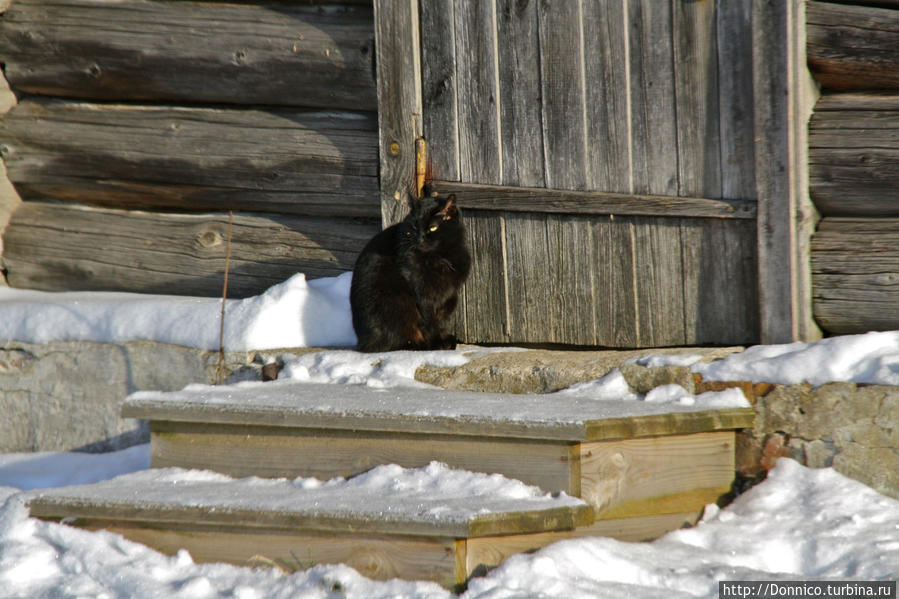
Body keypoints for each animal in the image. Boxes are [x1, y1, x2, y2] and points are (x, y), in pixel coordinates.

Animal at [348, 191, 472, 352]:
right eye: (414, 227)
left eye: (433, 228)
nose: (419, 238)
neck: (440, 256)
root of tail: (362, 341)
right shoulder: (423, 294)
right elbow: (430, 321)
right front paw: (437, 343)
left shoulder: (449, 296)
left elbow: (442, 320)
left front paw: (443, 339)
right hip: (396, 304)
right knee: (398, 341)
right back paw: (422, 345)